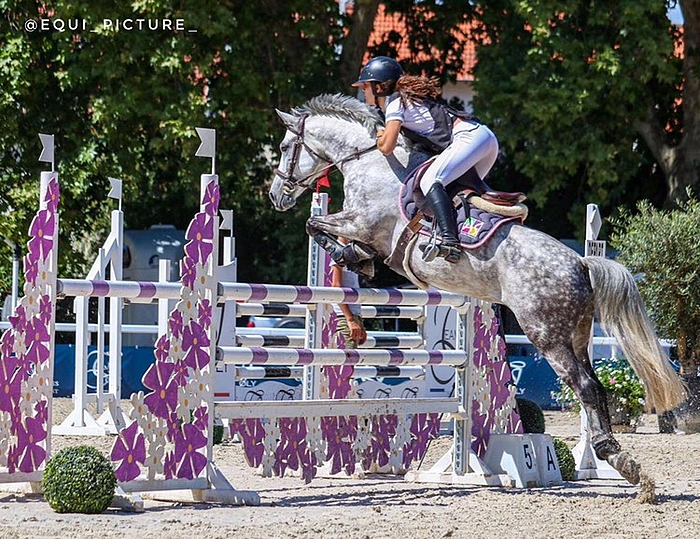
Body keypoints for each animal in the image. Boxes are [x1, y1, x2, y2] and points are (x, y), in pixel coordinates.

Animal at [270, 93, 688, 490]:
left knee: (585, 386)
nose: (277, 195)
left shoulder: (362, 222)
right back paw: (615, 457)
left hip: (547, 335)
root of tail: (581, 263)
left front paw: (349, 257)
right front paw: (356, 273)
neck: (372, 160)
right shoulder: (360, 228)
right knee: (596, 386)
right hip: (578, 335)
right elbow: (332, 240)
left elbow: (315, 225)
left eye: (286, 146)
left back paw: (613, 457)